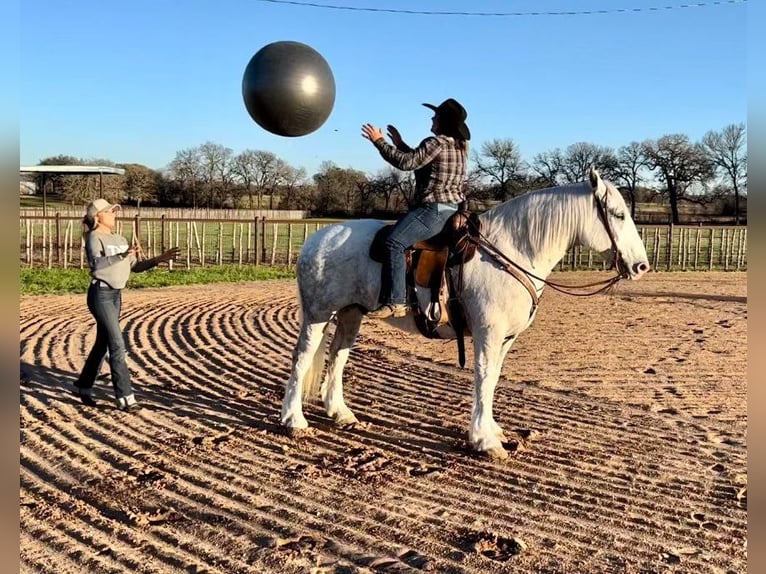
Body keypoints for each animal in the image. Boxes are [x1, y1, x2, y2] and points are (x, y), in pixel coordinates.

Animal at [280, 169, 652, 462]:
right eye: (618, 214)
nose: (641, 266)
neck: (513, 250)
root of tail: (316, 240)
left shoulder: (505, 339)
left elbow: (493, 380)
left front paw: (492, 431)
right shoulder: (488, 332)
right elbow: (483, 378)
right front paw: (485, 441)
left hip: (350, 314)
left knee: (337, 357)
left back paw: (340, 413)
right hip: (318, 314)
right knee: (302, 359)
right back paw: (294, 421)